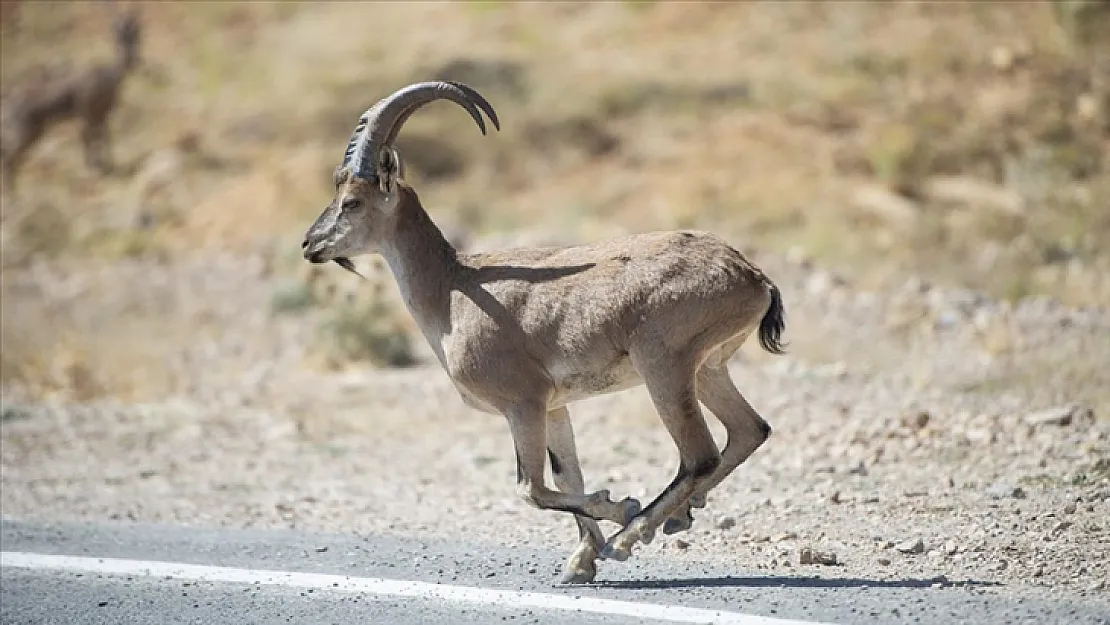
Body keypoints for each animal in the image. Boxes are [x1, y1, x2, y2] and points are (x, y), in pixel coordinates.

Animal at [0, 9, 143, 190]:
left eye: (137, 35)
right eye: (119, 36)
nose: (134, 60)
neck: (108, 77)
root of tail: (8, 99)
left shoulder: (102, 115)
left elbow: (103, 138)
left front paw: (107, 166)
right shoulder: (87, 113)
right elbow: (89, 140)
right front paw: (97, 169)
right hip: (26, 132)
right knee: (9, 160)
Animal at [304, 80, 785, 586]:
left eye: (352, 201)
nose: (310, 244)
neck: (454, 290)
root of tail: (752, 277)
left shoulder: (524, 403)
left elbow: (531, 489)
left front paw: (619, 511)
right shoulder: (555, 407)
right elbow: (565, 476)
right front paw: (580, 561)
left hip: (664, 366)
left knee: (700, 454)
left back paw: (631, 535)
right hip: (708, 369)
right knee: (748, 430)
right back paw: (671, 519)